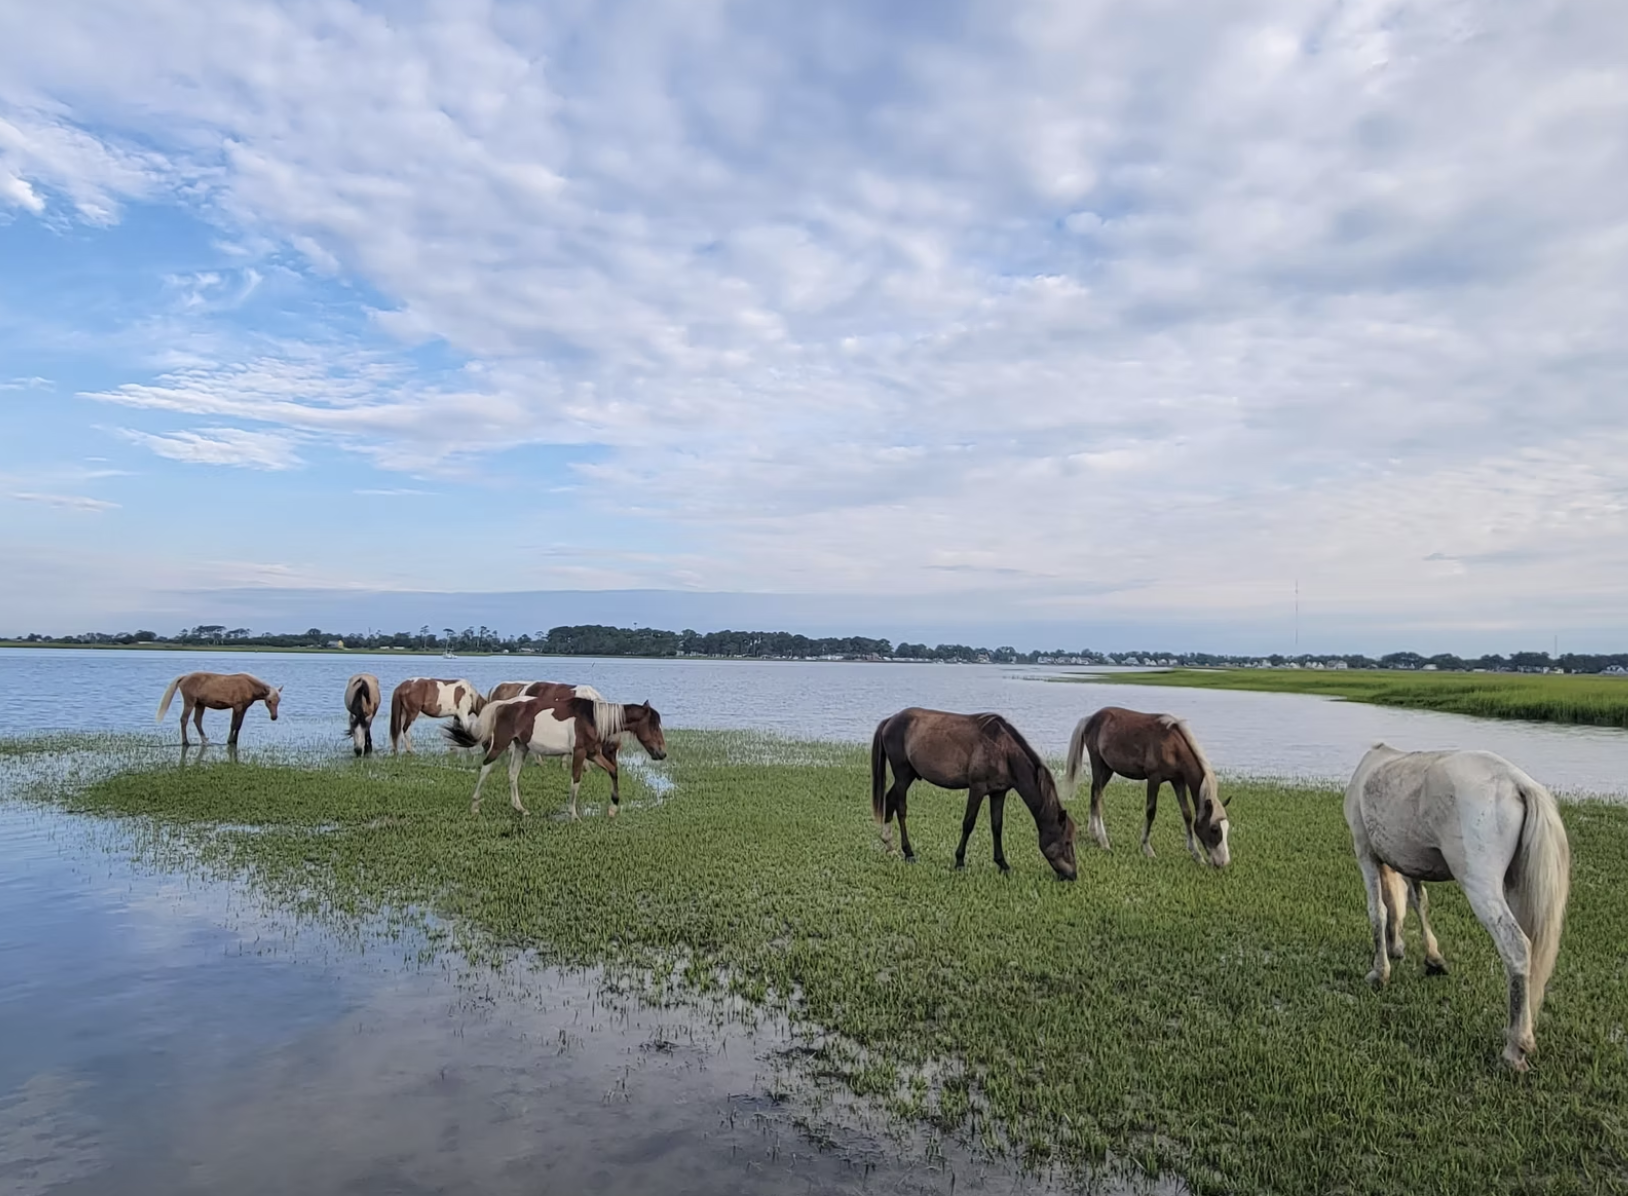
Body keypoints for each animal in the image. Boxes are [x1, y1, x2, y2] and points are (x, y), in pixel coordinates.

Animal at [446, 695, 667, 818]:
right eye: (653, 726)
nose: (662, 753)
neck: (592, 718)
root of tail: (503, 705)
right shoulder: (579, 753)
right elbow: (575, 782)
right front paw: (573, 814)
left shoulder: (593, 753)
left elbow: (613, 770)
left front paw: (613, 808)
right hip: (500, 743)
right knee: (485, 767)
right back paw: (475, 805)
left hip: (521, 747)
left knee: (513, 775)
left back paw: (520, 808)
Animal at [870, 707, 1078, 880]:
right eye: (1067, 842)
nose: (1072, 875)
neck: (1002, 750)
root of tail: (890, 720)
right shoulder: (977, 789)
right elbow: (968, 824)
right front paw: (960, 862)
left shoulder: (998, 793)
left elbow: (997, 826)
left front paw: (1002, 864)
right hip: (902, 775)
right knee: (901, 809)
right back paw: (909, 852)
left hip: (909, 776)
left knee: (889, 800)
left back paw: (890, 846)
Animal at [1064, 706, 1230, 867]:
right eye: (1214, 829)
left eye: (1227, 828)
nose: (1223, 862)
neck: (1172, 745)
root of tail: (1090, 718)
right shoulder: (1154, 778)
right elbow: (1151, 811)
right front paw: (1147, 849)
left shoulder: (1178, 781)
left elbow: (1187, 814)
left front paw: (1197, 855)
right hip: (1098, 763)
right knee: (1097, 797)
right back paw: (1104, 841)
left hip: (1108, 769)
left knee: (1094, 794)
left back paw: (1093, 833)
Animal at [1345, 744, 1570, 1071]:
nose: (1395, 950)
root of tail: (1518, 783)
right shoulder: (1409, 861)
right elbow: (1417, 901)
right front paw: (1430, 957)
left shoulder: (1365, 851)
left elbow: (1379, 911)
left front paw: (1380, 972)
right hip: (1516, 886)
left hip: (1481, 885)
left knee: (1516, 947)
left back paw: (1515, 1049)